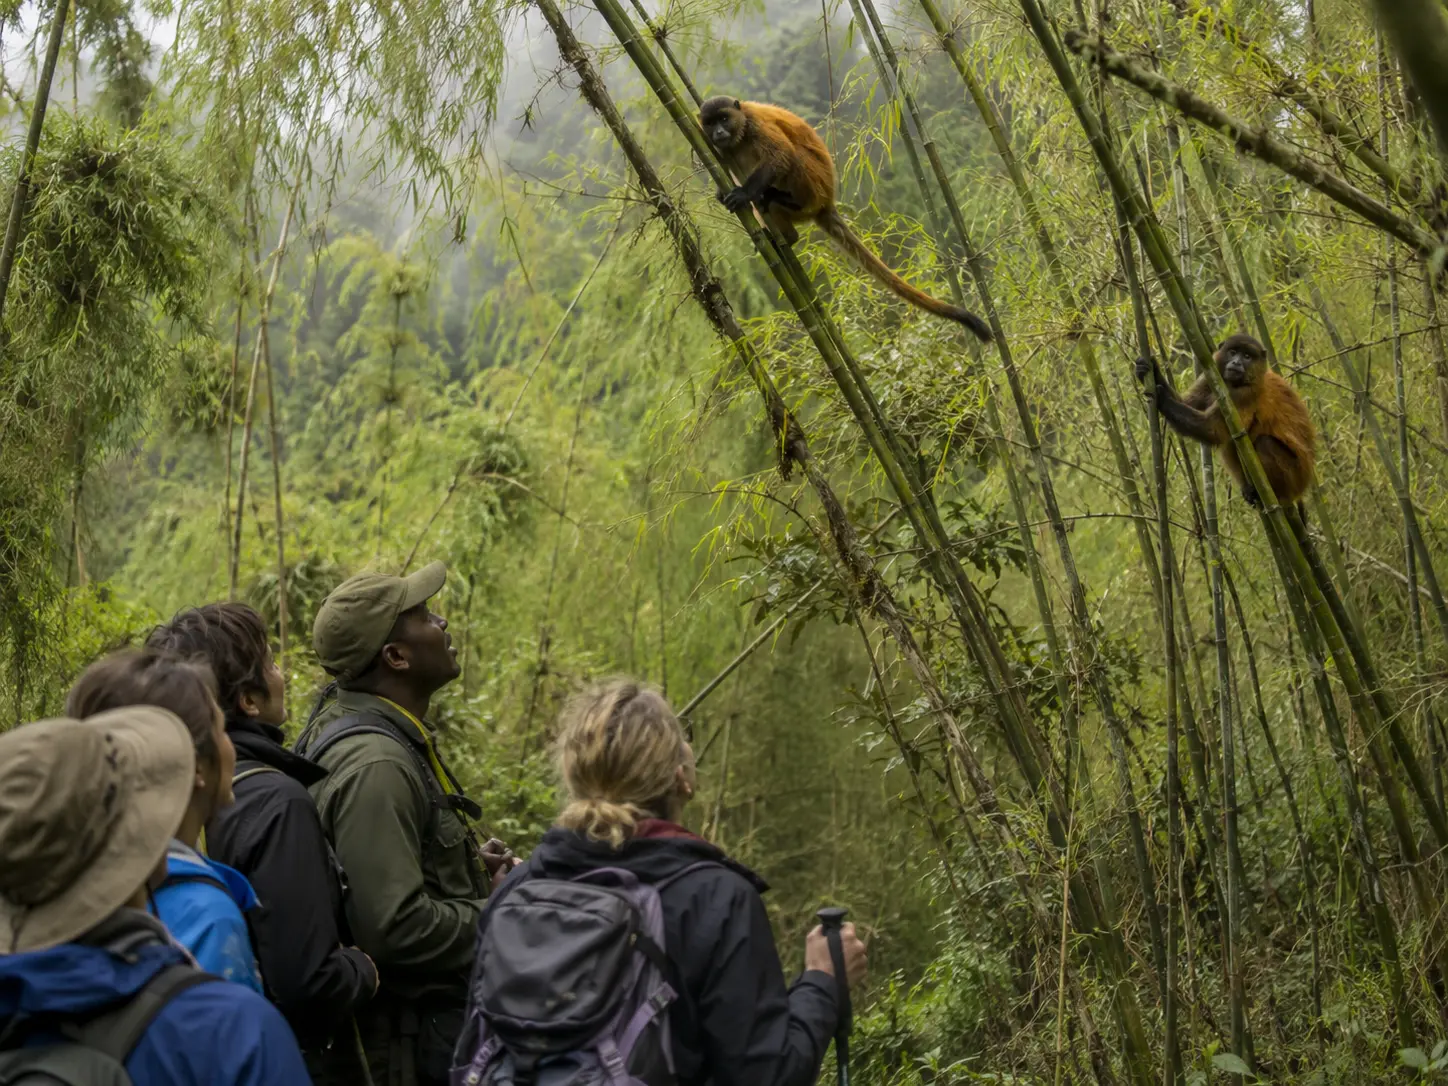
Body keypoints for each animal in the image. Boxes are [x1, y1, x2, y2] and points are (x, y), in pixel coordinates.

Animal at [698, 96, 992, 342]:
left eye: (724, 119)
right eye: (710, 123)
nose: (719, 132)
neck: (741, 131)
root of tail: (826, 203)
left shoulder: (757, 127)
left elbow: (781, 155)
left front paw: (744, 193)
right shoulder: (720, 149)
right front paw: (724, 193)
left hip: (814, 185)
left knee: (792, 160)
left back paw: (779, 202)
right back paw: (783, 231)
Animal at [1135, 333, 1316, 508]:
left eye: (1247, 356)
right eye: (1233, 352)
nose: (1236, 362)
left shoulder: (1243, 394)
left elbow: (1213, 430)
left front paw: (1162, 398)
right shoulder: (1211, 376)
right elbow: (1187, 403)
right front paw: (1151, 370)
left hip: (1294, 476)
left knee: (1264, 442)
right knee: (1232, 441)